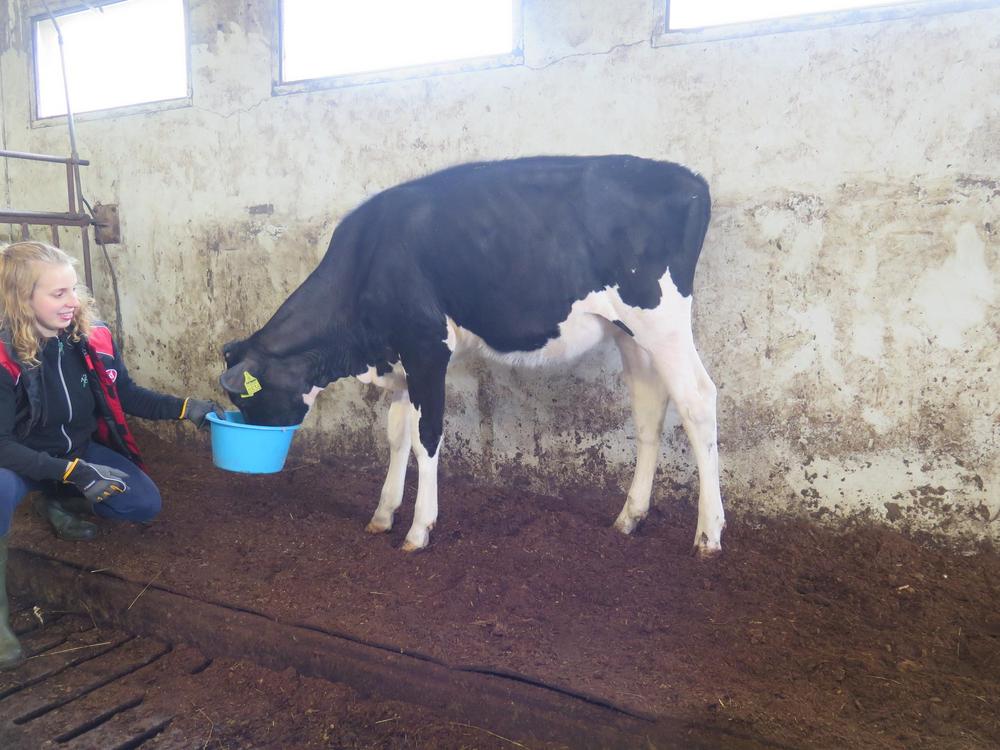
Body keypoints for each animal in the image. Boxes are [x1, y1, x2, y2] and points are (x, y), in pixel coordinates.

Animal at [220, 155, 725, 557]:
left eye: (245, 398)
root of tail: (690, 178)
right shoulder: (399, 358)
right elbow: (396, 434)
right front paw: (383, 515)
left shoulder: (425, 347)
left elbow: (426, 436)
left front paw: (418, 530)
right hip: (631, 333)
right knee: (650, 408)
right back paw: (629, 517)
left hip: (662, 320)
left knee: (697, 400)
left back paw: (709, 534)